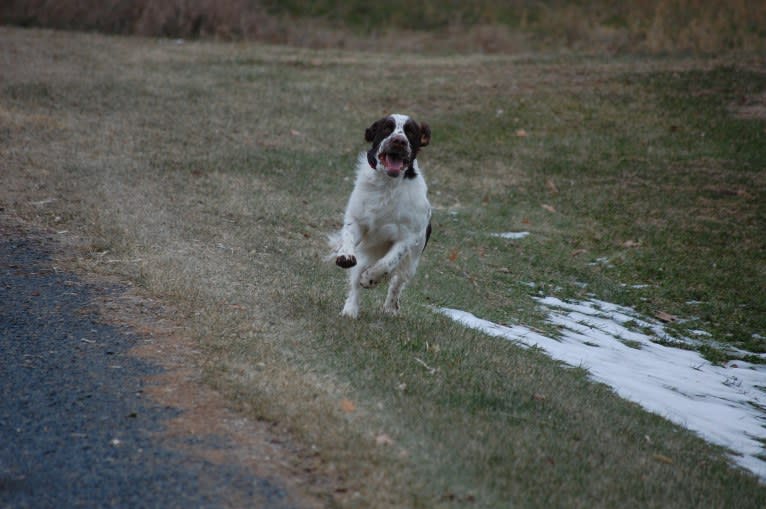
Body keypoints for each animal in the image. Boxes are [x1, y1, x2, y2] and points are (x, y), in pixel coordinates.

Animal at [328, 114, 432, 318]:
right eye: (386, 128)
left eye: (410, 131)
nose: (399, 140)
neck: (387, 184)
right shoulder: (358, 220)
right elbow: (348, 238)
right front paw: (345, 256)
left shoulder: (409, 236)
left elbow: (388, 263)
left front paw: (370, 279)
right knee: (355, 281)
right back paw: (350, 310)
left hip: (412, 262)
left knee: (397, 282)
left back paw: (391, 307)